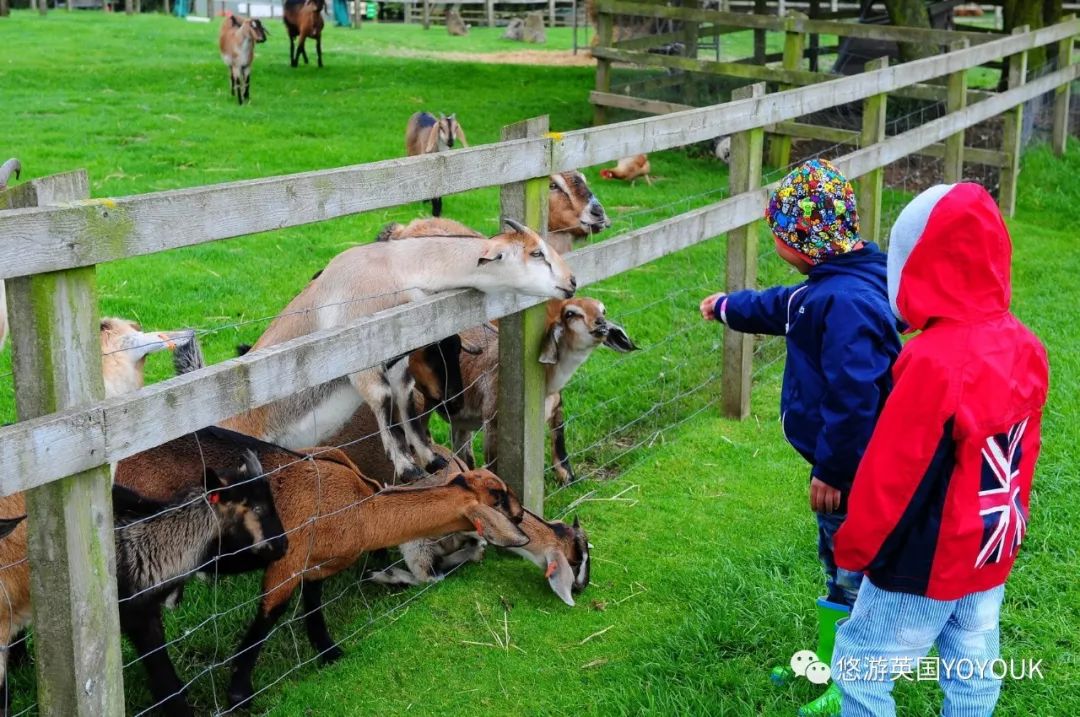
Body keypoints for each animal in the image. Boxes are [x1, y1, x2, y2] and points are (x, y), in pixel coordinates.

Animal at [218, 220, 574, 481]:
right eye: (537, 253)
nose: (571, 282)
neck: (395, 267)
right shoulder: (359, 355)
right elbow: (384, 399)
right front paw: (407, 467)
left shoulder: (398, 354)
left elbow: (405, 399)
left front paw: (429, 459)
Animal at [444, 293, 630, 483]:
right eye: (570, 313)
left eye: (603, 310)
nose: (601, 323)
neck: (547, 385)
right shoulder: (493, 421)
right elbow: (493, 466)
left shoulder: (557, 406)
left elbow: (559, 443)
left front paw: (568, 478)